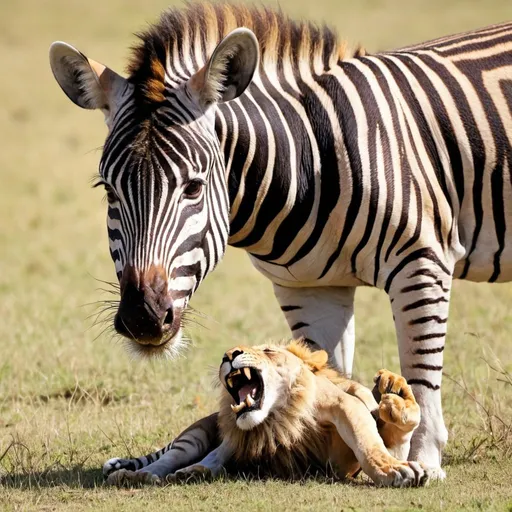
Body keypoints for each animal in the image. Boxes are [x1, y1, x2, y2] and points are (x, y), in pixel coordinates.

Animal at [104, 342, 432, 486]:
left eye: (268, 350)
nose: (228, 355)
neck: (276, 415)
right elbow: (218, 453)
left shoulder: (343, 410)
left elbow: (368, 443)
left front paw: (392, 469)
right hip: (194, 436)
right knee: (179, 457)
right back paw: (142, 475)